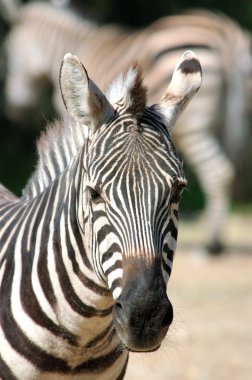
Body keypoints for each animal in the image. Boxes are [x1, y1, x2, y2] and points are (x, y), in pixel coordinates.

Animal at [1, 2, 252, 255]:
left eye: (10, 54)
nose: (14, 111)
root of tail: (226, 38)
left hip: (195, 128)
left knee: (218, 171)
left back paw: (212, 243)